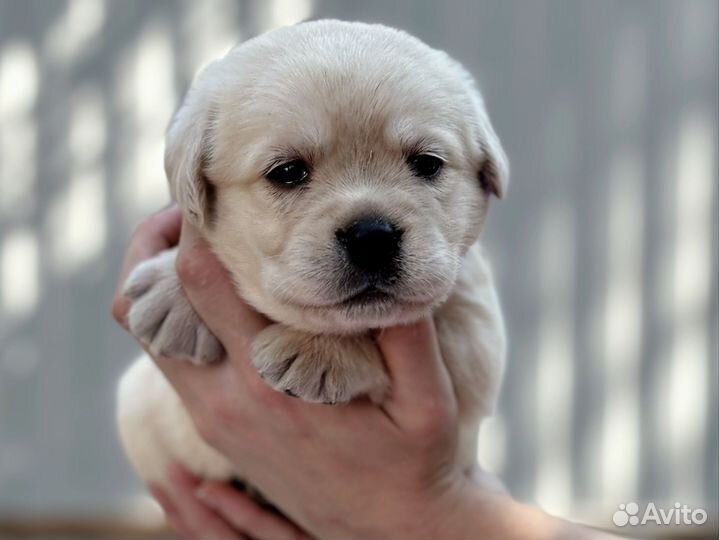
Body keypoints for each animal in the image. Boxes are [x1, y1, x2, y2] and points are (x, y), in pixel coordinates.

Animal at [116, 21, 506, 492]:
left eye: (428, 163)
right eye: (287, 172)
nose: (372, 237)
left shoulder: (474, 348)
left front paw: (319, 350)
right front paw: (171, 293)